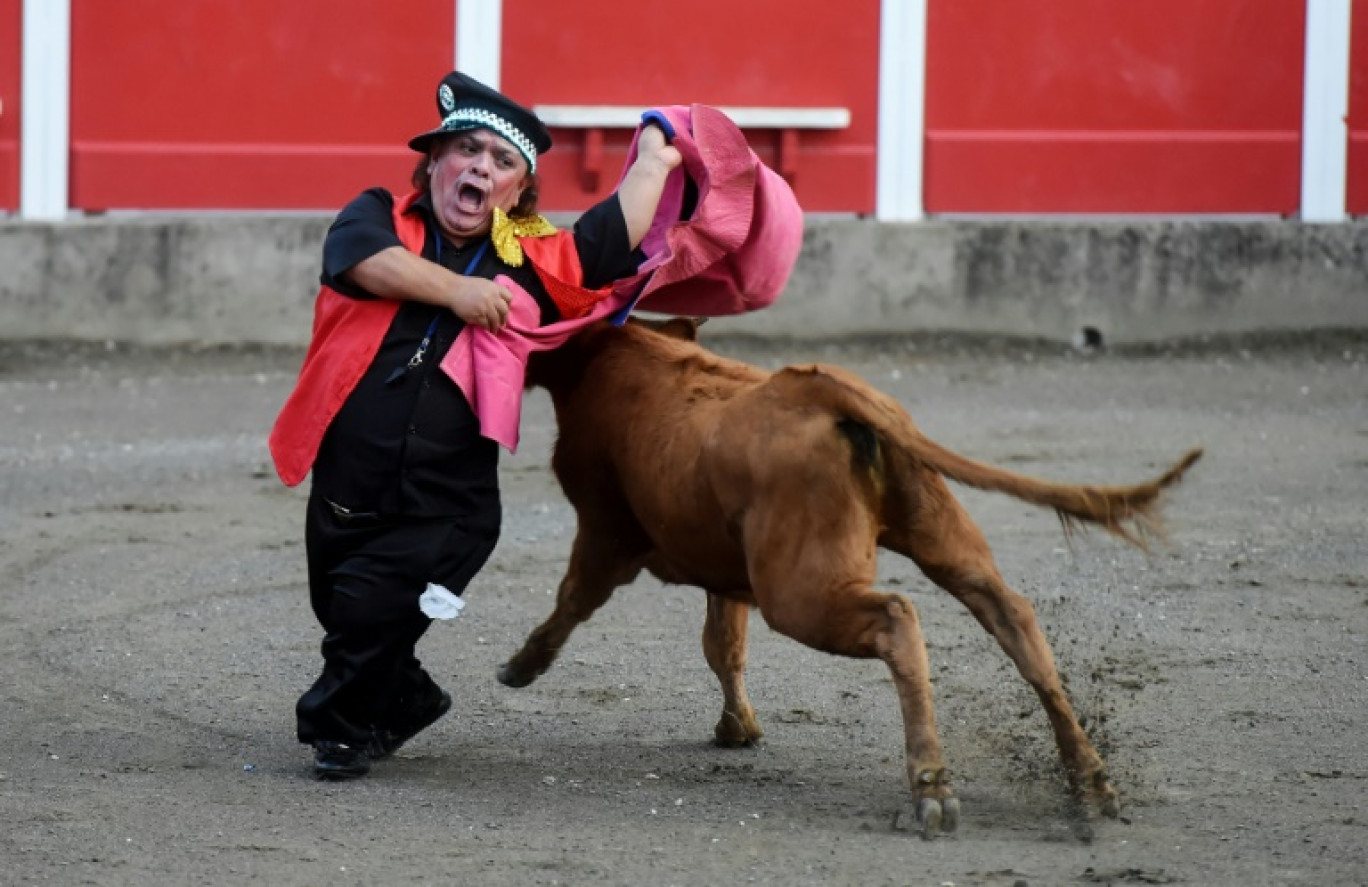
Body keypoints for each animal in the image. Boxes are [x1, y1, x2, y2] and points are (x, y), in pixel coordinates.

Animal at [500, 318, 1198, 837]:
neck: (613, 358)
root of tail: (827, 390)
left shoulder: (605, 530)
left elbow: (575, 599)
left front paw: (521, 666)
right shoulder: (725, 571)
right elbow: (724, 644)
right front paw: (737, 727)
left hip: (798, 593)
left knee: (897, 617)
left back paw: (931, 787)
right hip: (940, 534)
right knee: (1011, 615)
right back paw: (1090, 778)